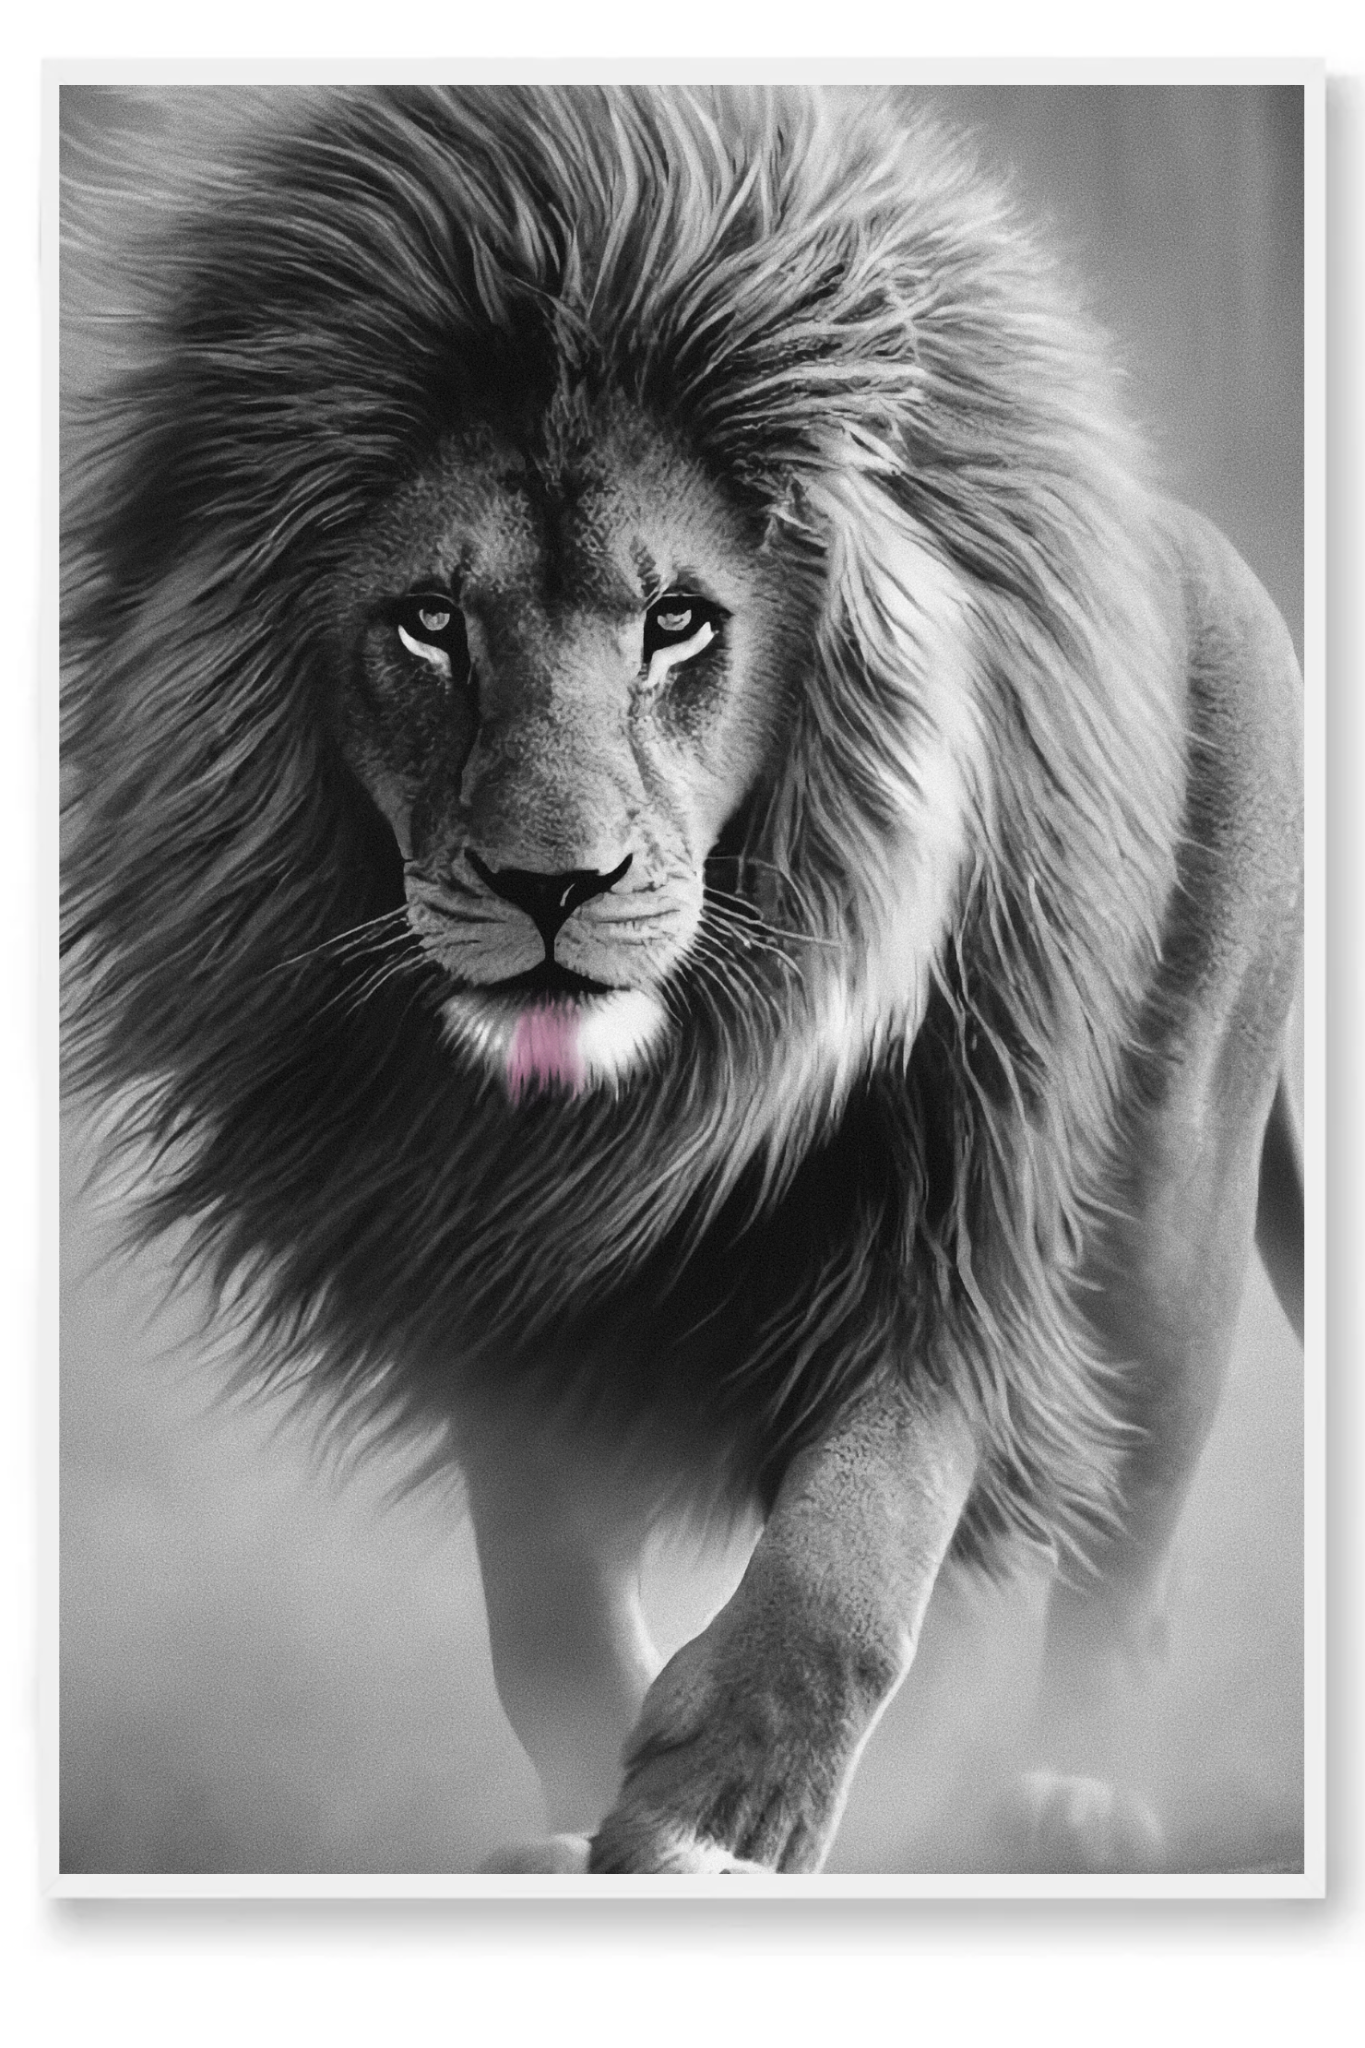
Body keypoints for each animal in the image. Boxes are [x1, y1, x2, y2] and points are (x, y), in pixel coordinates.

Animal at [62, 84, 1303, 1875]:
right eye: (429, 622)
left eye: (676, 624)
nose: (551, 886)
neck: (647, 1106)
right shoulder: (476, 1277)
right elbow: (546, 1612)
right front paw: (585, 1816)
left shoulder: (953, 1216)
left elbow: (858, 1542)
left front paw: (724, 1806)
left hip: (1171, 1224)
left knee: (1126, 1545)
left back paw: (1077, 1794)